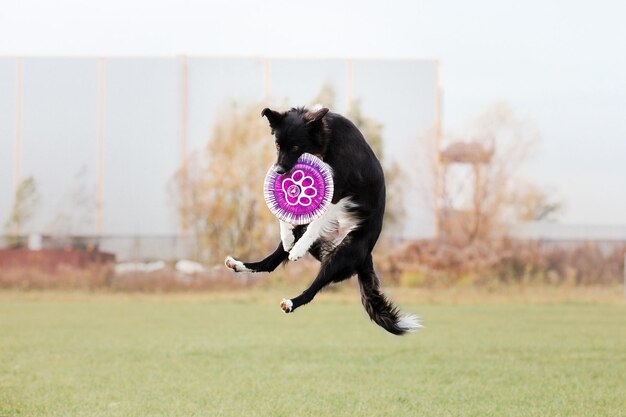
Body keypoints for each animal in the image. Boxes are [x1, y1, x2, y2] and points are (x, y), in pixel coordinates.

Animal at [224, 106, 420, 334]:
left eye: (296, 146)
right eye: (277, 145)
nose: (279, 171)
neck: (327, 139)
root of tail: (366, 256)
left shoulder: (339, 191)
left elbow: (318, 219)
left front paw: (298, 249)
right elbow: (285, 211)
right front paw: (287, 236)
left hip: (341, 255)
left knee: (313, 288)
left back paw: (290, 300)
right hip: (310, 241)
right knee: (270, 263)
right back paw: (239, 263)